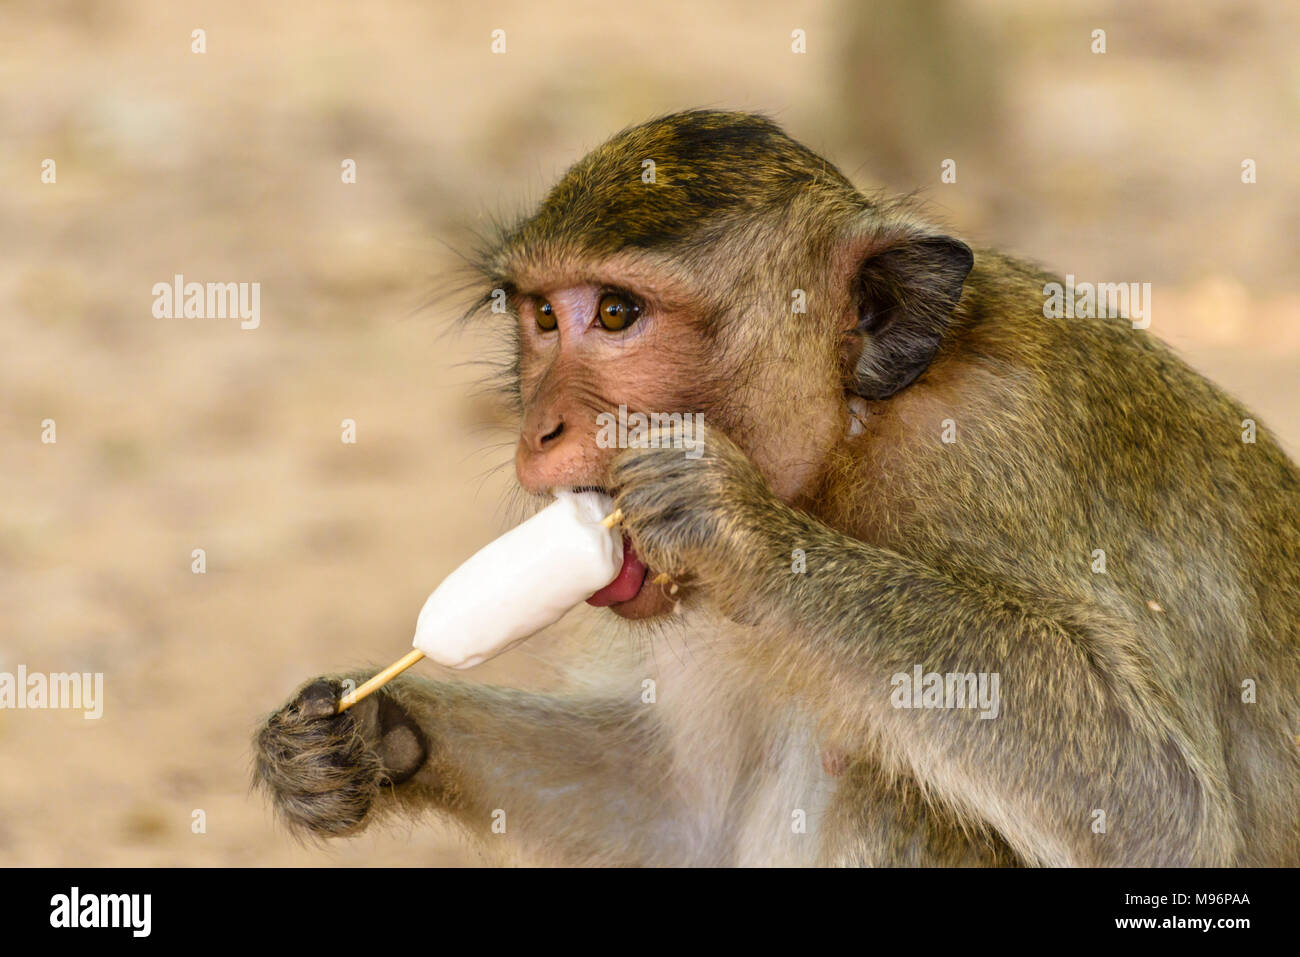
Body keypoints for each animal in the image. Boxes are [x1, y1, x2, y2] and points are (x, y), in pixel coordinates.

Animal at [253, 108, 1300, 863]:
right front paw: (361, 730)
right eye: (543, 317)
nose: (536, 428)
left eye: (618, 313)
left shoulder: (999, 446)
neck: (849, 441)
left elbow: (1161, 812)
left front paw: (737, 525)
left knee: (889, 786)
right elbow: (674, 811)